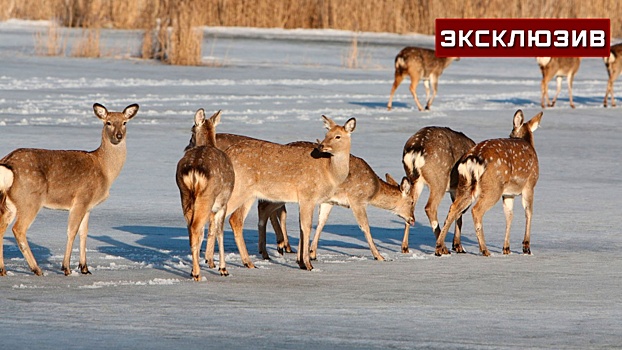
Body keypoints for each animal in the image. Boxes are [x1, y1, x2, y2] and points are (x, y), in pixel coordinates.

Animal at [0, 102, 139, 278]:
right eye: (108, 122)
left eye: (124, 122)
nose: (118, 136)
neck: (105, 170)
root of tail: (7, 162)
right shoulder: (81, 199)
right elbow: (72, 231)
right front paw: (66, 268)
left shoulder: (88, 206)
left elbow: (83, 232)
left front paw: (85, 268)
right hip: (30, 199)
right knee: (18, 229)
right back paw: (37, 269)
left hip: (12, 202)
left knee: (1, 226)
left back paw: (3, 270)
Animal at [177, 109, 235, 282]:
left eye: (191, 131)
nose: (187, 146)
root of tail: (194, 171)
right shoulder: (223, 203)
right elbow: (219, 231)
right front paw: (223, 269)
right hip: (207, 196)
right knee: (196, 227)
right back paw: (197, 274)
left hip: (185, 195)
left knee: (192, 229)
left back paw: (194, 271)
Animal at [221, 115, 356, 270]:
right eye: (326, 134)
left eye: (338, 136)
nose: (321, 146)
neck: (329, 171)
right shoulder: (307, 194)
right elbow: (306, 226)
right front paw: (308, 264)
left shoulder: (305, 199)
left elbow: (302, 227)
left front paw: (301, 262)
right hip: (239, 189)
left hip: (249, 194)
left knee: (234, 219)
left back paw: (247, 263)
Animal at [247, 144, 414, 262]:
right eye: (412, 201)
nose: (412, 220)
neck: (373, 190)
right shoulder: (357, 199)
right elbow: (365, 226)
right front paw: (379, 256)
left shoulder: (329, 201)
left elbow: (321, 222)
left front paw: (312, 253)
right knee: (265, 206)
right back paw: (273, 248)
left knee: (267, 207)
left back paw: (274, 249)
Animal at [436, 109, 544, 258]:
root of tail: (472, 159)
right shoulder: (529, 184)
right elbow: (528, 212)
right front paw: (526, 248)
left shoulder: (508, 193)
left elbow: (509, 216)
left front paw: (506, 248)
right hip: (493, 187)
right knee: (476, 210)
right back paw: (484, 250)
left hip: (465, 185)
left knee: (453, 208)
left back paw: (439, 248)